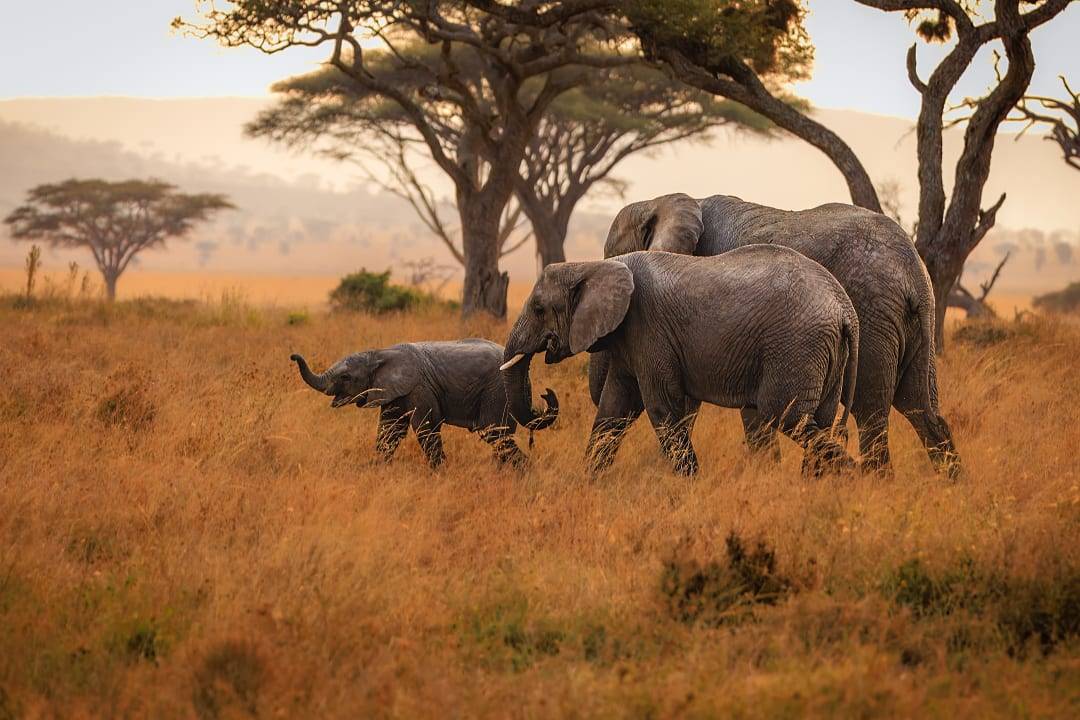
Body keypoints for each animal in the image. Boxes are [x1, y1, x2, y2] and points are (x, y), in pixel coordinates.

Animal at [291, 339, 558, 468]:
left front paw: (439, 471)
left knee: (495, 433)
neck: (379, 353)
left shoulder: (420, 388)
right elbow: (390, 430)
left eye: (346, 377)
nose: (293, 356)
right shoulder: (394, 392)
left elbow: (425, 428)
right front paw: (379, 468)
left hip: (497, 391)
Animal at [501, 248, 859, 477]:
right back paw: (816, 485)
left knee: (786, 415)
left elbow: (659, 405)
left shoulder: (648, 328)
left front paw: (690, 483)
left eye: (538, 309)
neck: (593, 265)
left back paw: (854, 477)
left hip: (796, 347)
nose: (545, 396)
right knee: (819, 419)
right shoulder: (629, 339)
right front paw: (590, 481)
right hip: (825, 354)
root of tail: (845, 311)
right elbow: (614, 407)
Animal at [599, 193, 959, 477]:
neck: (665, 200)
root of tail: (914, 273)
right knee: (918, 407)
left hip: (873, 316)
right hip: (911, 327)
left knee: (871, 413)